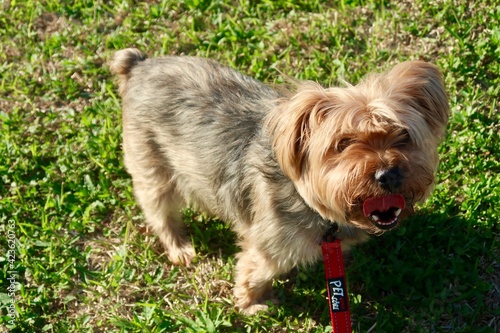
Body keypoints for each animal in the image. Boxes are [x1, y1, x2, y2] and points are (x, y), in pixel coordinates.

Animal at [109, 48, 450, 312]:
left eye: (402, 136)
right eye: (343, 143)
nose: (387, 174)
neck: (309, 200)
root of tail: (139, 66)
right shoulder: (269, 244)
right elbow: (255, 271)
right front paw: (251, 304)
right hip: (150, 160)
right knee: (159, 208)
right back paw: (179, 247)